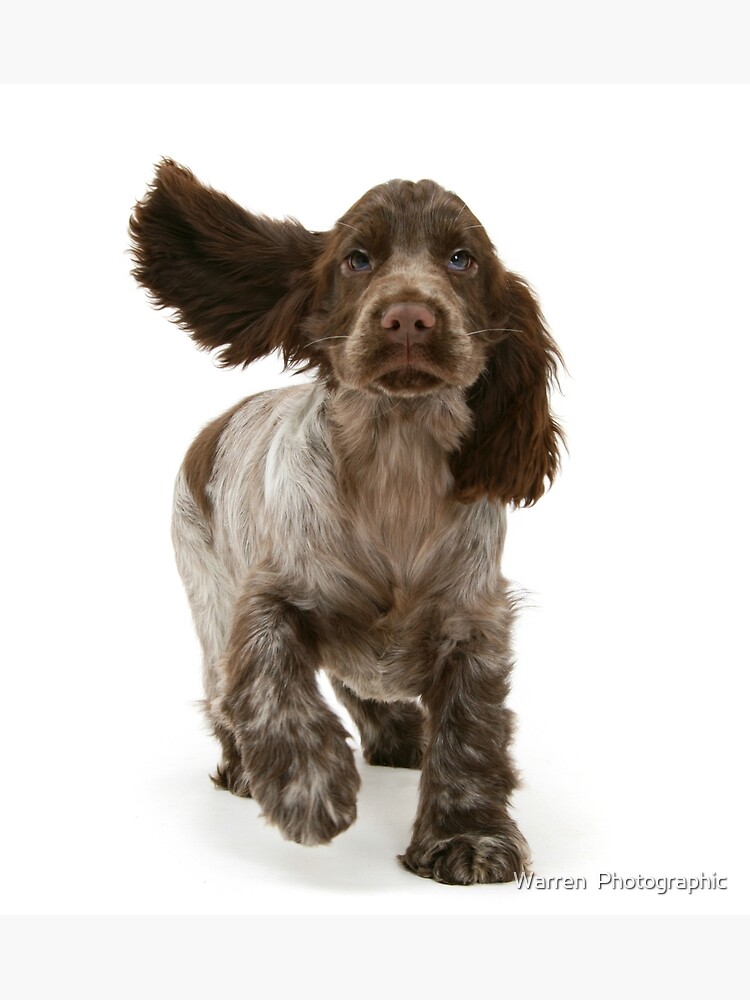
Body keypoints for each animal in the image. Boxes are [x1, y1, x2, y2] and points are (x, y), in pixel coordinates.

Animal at [129, 160, 564, 888]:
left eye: (462, 259)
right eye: (358, 259)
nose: (410, 316)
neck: (397, 465)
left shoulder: (474, 621)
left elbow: (470, 731)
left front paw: (466, 835)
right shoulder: (269, 597)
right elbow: (273, 687)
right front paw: (309, 790)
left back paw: (397, 735)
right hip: (208, 597)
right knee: (226, 695)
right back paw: (244, 769)